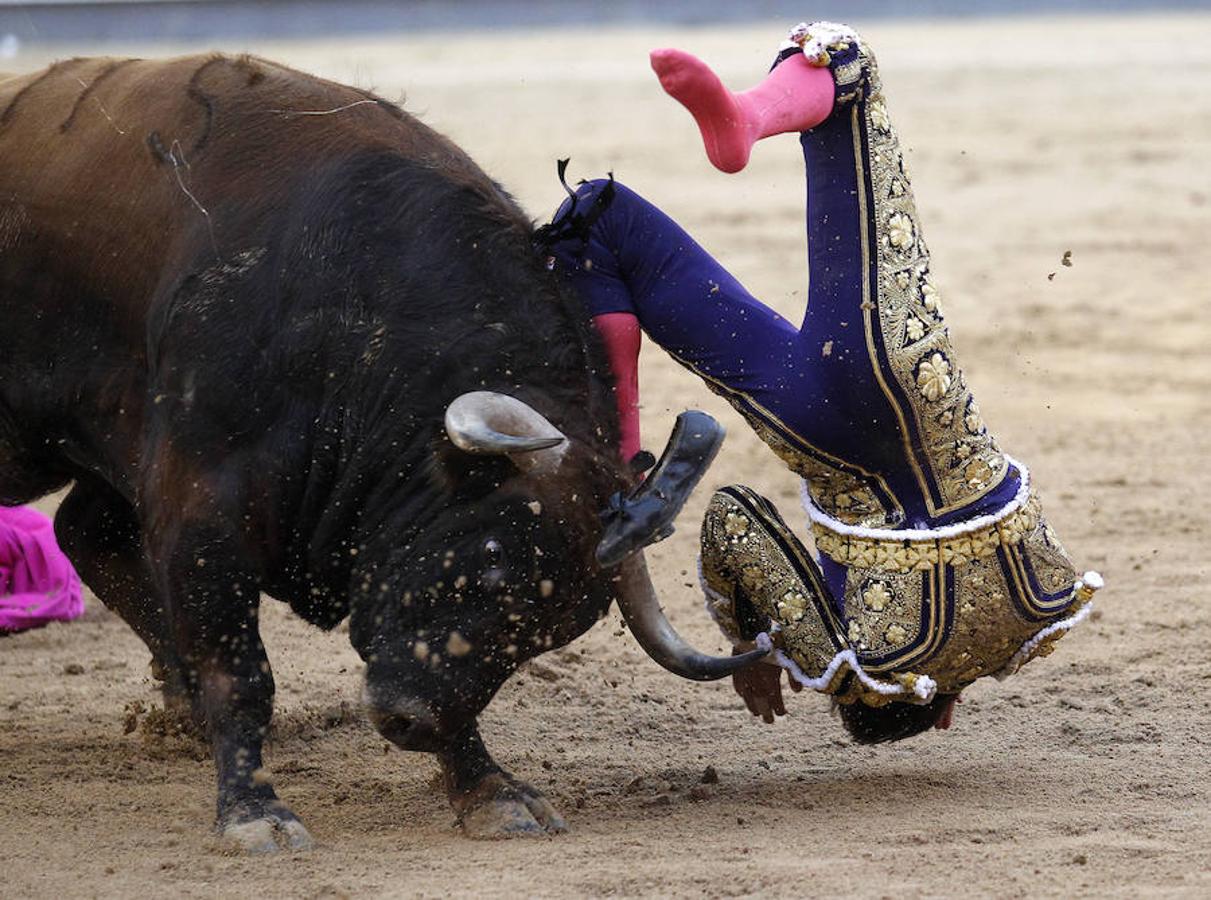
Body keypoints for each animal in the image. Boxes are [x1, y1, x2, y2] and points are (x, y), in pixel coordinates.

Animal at [0, 56, 755, 852]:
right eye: (490, 560)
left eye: (555, 633)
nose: (406, 722)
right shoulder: (199, 505)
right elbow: (238, 669)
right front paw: (255, 812)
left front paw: (490, 791)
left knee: (87, 533)